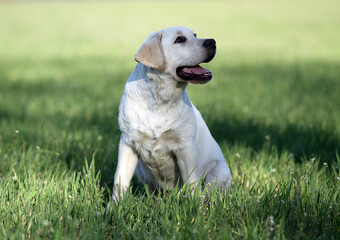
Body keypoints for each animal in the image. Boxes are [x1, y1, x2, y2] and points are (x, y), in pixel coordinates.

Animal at [111, 27, 231, 202]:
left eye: (195, 35)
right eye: (179, 40)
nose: (212, 41)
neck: (159, 100)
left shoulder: (185, 147)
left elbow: (192, 183)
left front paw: (194, 206)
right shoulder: (128, 142)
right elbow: (120, 180)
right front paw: (115, 206)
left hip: (218, 173)